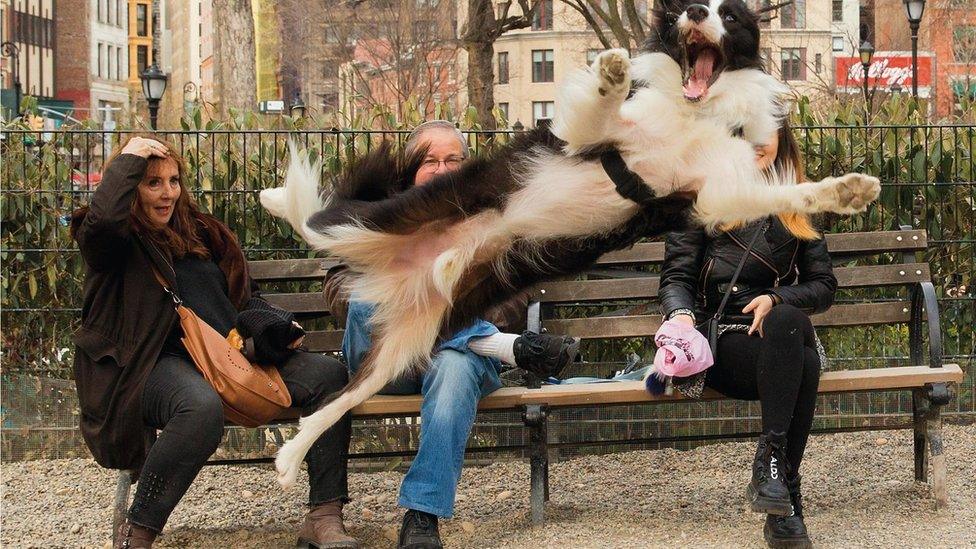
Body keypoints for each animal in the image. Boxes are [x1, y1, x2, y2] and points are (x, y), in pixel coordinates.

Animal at [258, 0, 876, 488]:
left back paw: (290, 457)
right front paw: (612, 68)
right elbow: (601, 105)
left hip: (407, 341)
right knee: (318, 222)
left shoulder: (712, 193)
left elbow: (785, 192)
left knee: (341, 400)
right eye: (690, 6)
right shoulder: (594, 137)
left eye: (731, 15)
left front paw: (845, 190)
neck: (692, 109)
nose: (698, 13)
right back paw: (276, 196)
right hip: (388, 216)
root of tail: (400, 267)